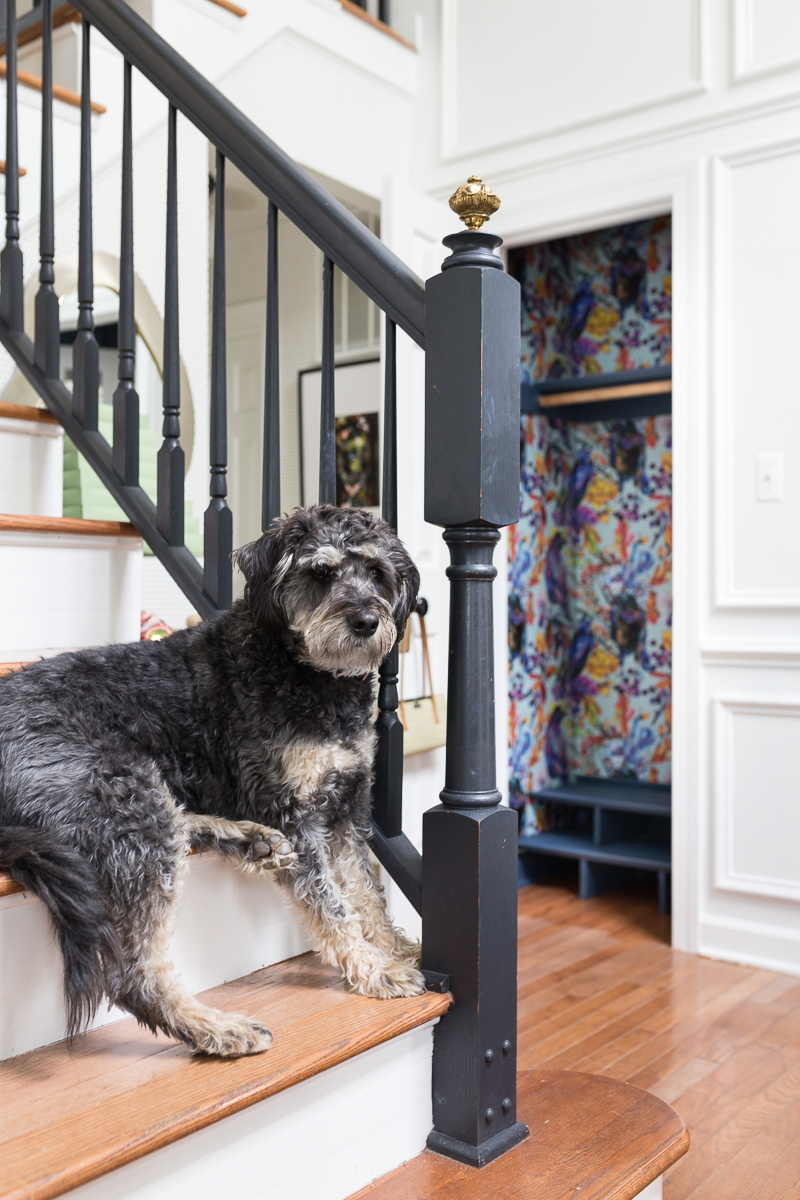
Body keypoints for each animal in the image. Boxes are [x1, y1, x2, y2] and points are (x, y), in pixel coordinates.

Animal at [0, 501, 424, 1056]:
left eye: (376, 572)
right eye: (321, 573)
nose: (367, 621)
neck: (306, 673)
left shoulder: (348, 808)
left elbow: (366, 891)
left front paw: (398, 946)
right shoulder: (292, 810)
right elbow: (333, 904)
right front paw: (376, 969)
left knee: (179, 824)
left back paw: (250, 840)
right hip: (119, 791)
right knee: (135, 973)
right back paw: (215, 1028)